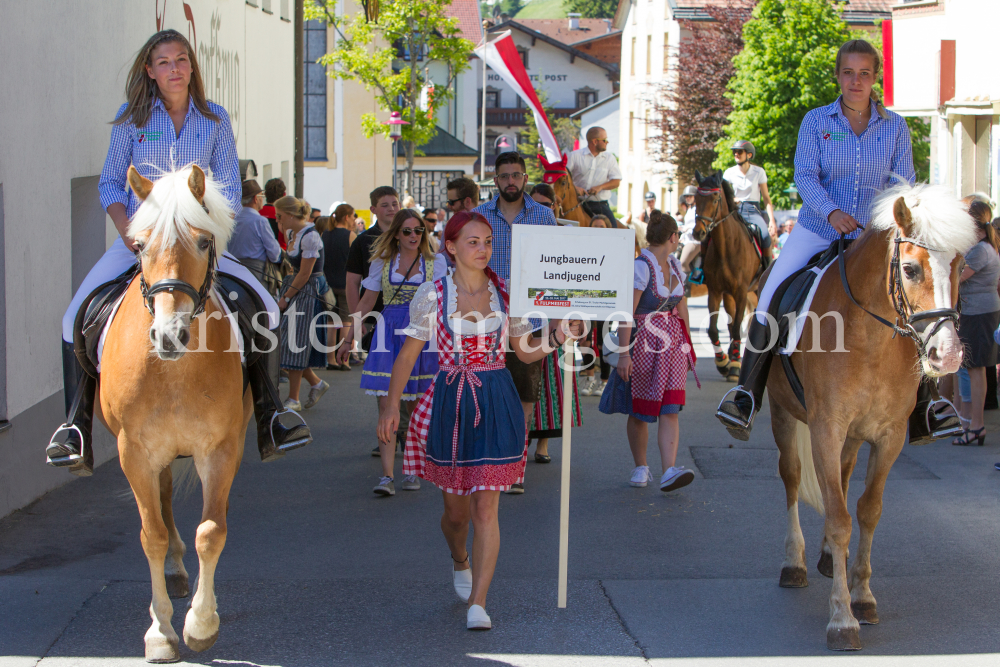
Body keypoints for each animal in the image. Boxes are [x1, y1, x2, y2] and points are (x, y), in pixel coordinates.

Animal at [102, 166, 252, 664]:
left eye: (204, 242)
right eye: (139, 245)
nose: (169, 336)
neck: (174, 371)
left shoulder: (221, 448)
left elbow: (211, 530)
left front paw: (201, 624)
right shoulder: (134, 452)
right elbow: (152, 535)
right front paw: (161, 631)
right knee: (164, 505)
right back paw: (174, 574)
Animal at [692, 170, 768, 380]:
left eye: (715, 198)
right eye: (696, 198)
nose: (698, 232)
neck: (726, 248)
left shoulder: (741, 292)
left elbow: (736, 329)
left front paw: (734, 365)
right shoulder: (715, 292)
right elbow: (713, 330)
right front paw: (723, 362)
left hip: (753, 291)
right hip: (728, 296)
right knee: (732, 322)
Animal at [764, 183, 976, 652]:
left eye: (961, 266)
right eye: (911, 269)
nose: (948, 355)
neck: (870, 336)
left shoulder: (888, 435)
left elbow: (866, 510)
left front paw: (861, 595)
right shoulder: (825, 428)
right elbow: (840, 519)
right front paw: (842, 619)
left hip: (853, 436)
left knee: (840, 483)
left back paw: (829, 559)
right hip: (783, 413)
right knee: (792, 477)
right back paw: (794, 563)